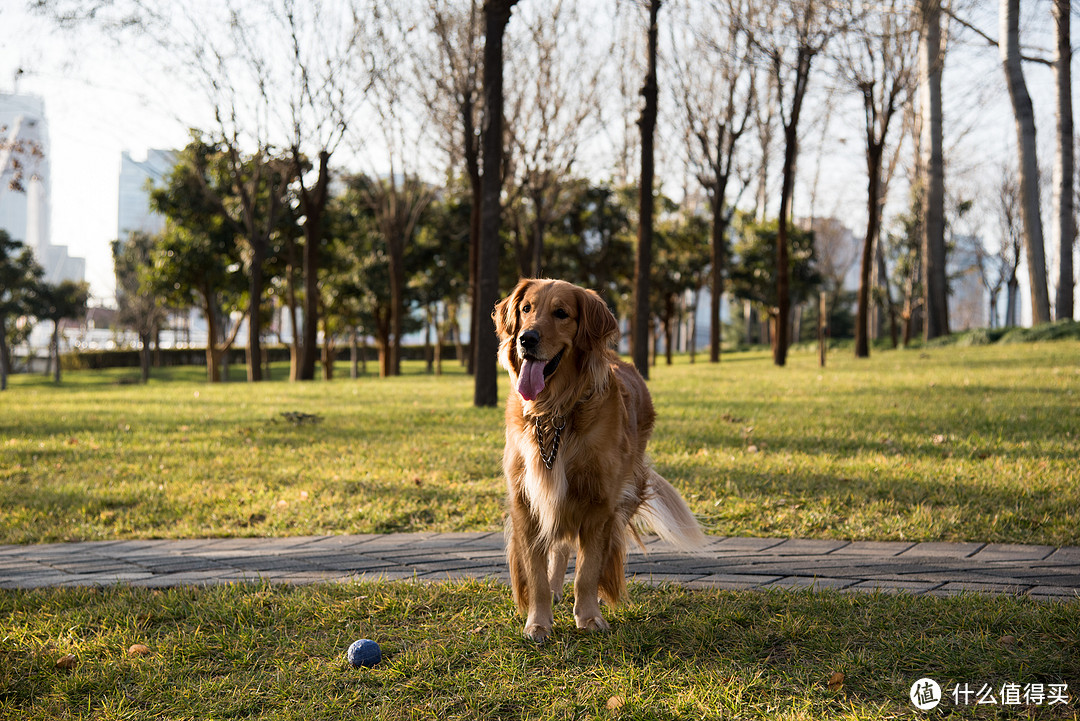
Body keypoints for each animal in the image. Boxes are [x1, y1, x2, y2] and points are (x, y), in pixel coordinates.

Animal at [494, 278, 704, 643]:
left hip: (627, 490)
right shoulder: (527, 502)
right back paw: (555, 588)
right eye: (526, 309)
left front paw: (589, 616)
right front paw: (538, 622)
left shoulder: (600, 503)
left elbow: (588, 570)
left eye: (561, 313)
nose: (526, 339)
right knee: (560, 547)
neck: (555, 413)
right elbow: (535, 573)